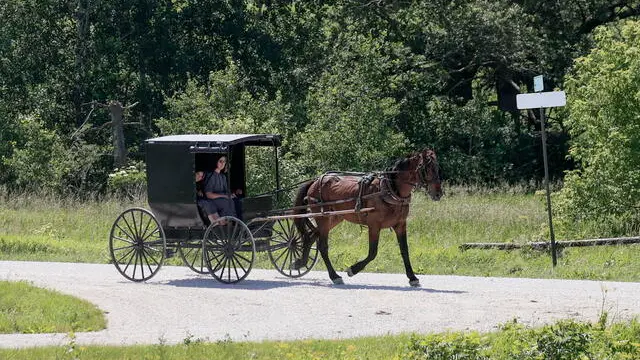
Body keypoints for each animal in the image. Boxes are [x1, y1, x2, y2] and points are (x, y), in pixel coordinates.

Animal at [292, 149, 442, 286]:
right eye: (426, 167)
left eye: (437, 167)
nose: (438, 193)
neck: (390, 189)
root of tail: (315, 181)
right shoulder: (374, 225)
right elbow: (373, 252)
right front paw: (353, 269)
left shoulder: (400, 225)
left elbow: (405, 250)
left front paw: (412, 277)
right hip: (323, 218)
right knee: (322, 246)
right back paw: (334, 276)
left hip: (333, 218)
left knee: (311, 236)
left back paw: (301, 262)